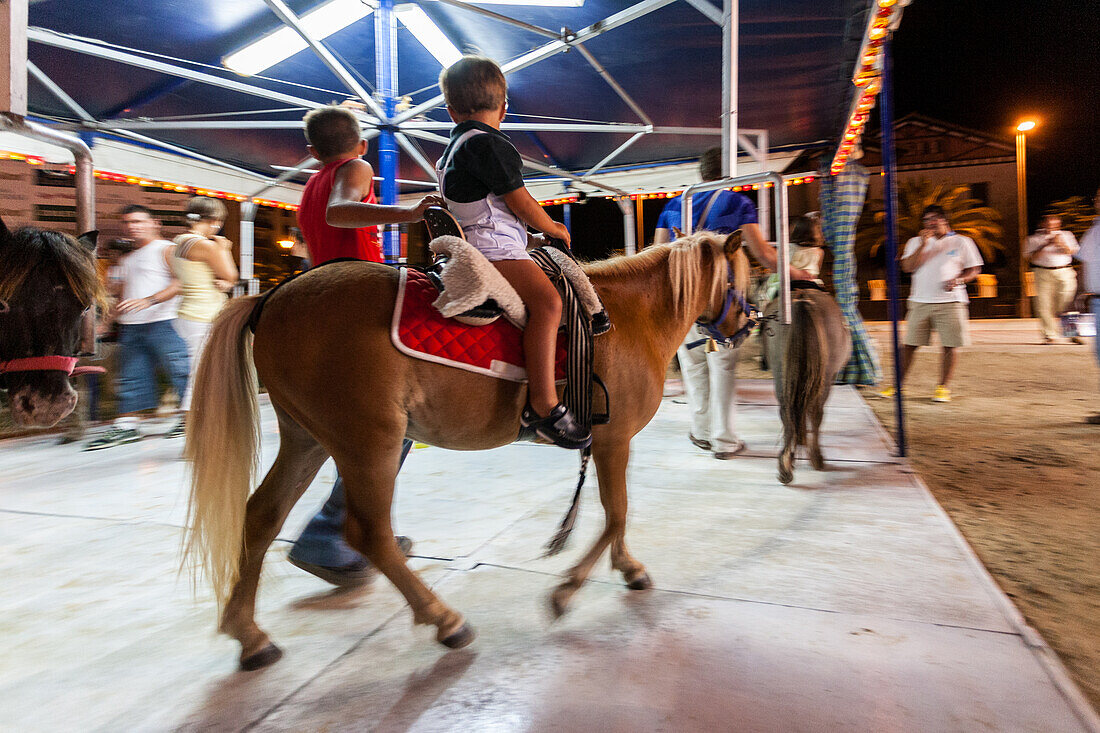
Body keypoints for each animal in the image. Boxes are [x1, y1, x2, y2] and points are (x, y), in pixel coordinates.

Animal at [191, 228, 756, 669]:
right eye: (742, 278)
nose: (747, 324)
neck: (629, 316)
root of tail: (271, 299)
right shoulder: (612, 440)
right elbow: (616, 513)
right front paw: (567, 590)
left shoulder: (609, 445)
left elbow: (617, 516)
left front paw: (628, 568)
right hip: (368, 441)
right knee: (369, 532)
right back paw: (445, 620)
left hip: (308, 439)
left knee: (262, 515)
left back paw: (250, 636)